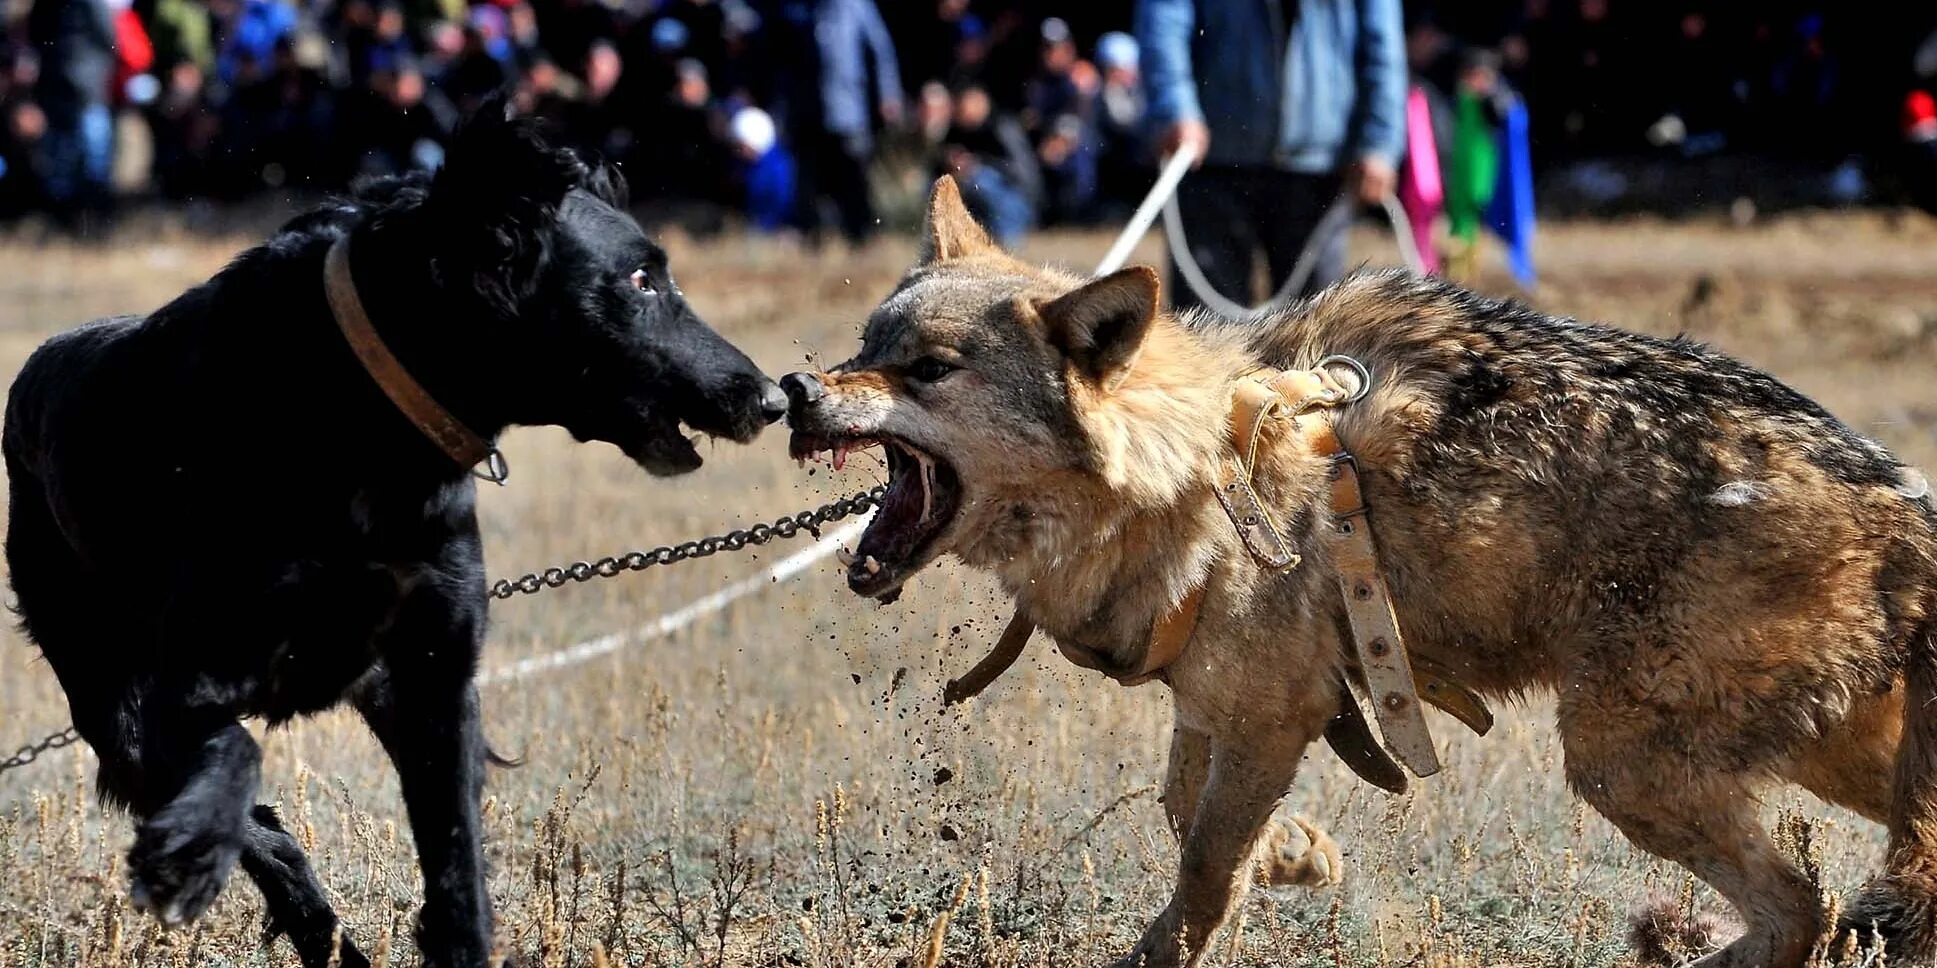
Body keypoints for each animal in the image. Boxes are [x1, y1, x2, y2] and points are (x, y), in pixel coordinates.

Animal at [3, 105, 786, 968]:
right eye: (642, 280)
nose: (771, 399)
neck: (362, 416)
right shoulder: (183, 685)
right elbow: (238, 757)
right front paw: (190, 853)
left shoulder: (433, 682)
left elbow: (457, 864)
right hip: (109, 704)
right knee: (253, 821)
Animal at [778, 178, 1937, 964]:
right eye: (863, 344)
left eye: (926, 369)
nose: (791, 390)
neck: (1195, 465)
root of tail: (1903, 501)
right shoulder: (1218, 706)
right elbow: (1187, 814)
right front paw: (1295, 856)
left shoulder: (1268, 715)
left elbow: (1200, 871)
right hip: (1796, 754)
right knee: (1836, 896)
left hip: (1621, 762)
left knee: (1802, 905)